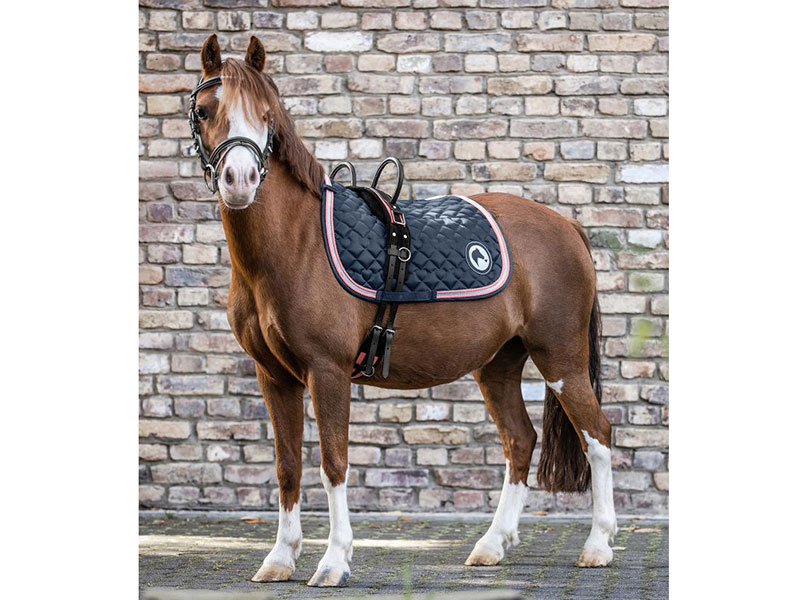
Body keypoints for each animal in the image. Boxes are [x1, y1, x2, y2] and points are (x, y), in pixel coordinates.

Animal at [188, 34, 616, 587]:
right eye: (203, 111)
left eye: (267, 115)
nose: (238, 180)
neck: (298, 244)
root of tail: (568, 226)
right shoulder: (273, 376)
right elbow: (287, 466)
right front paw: (280, 559)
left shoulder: (327, 372)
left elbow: (333, 462)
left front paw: (333, 562)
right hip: (499, 364)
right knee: (520, 441)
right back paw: (491, 545)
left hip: (561, 359)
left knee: (597, 436)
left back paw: (597, 545)